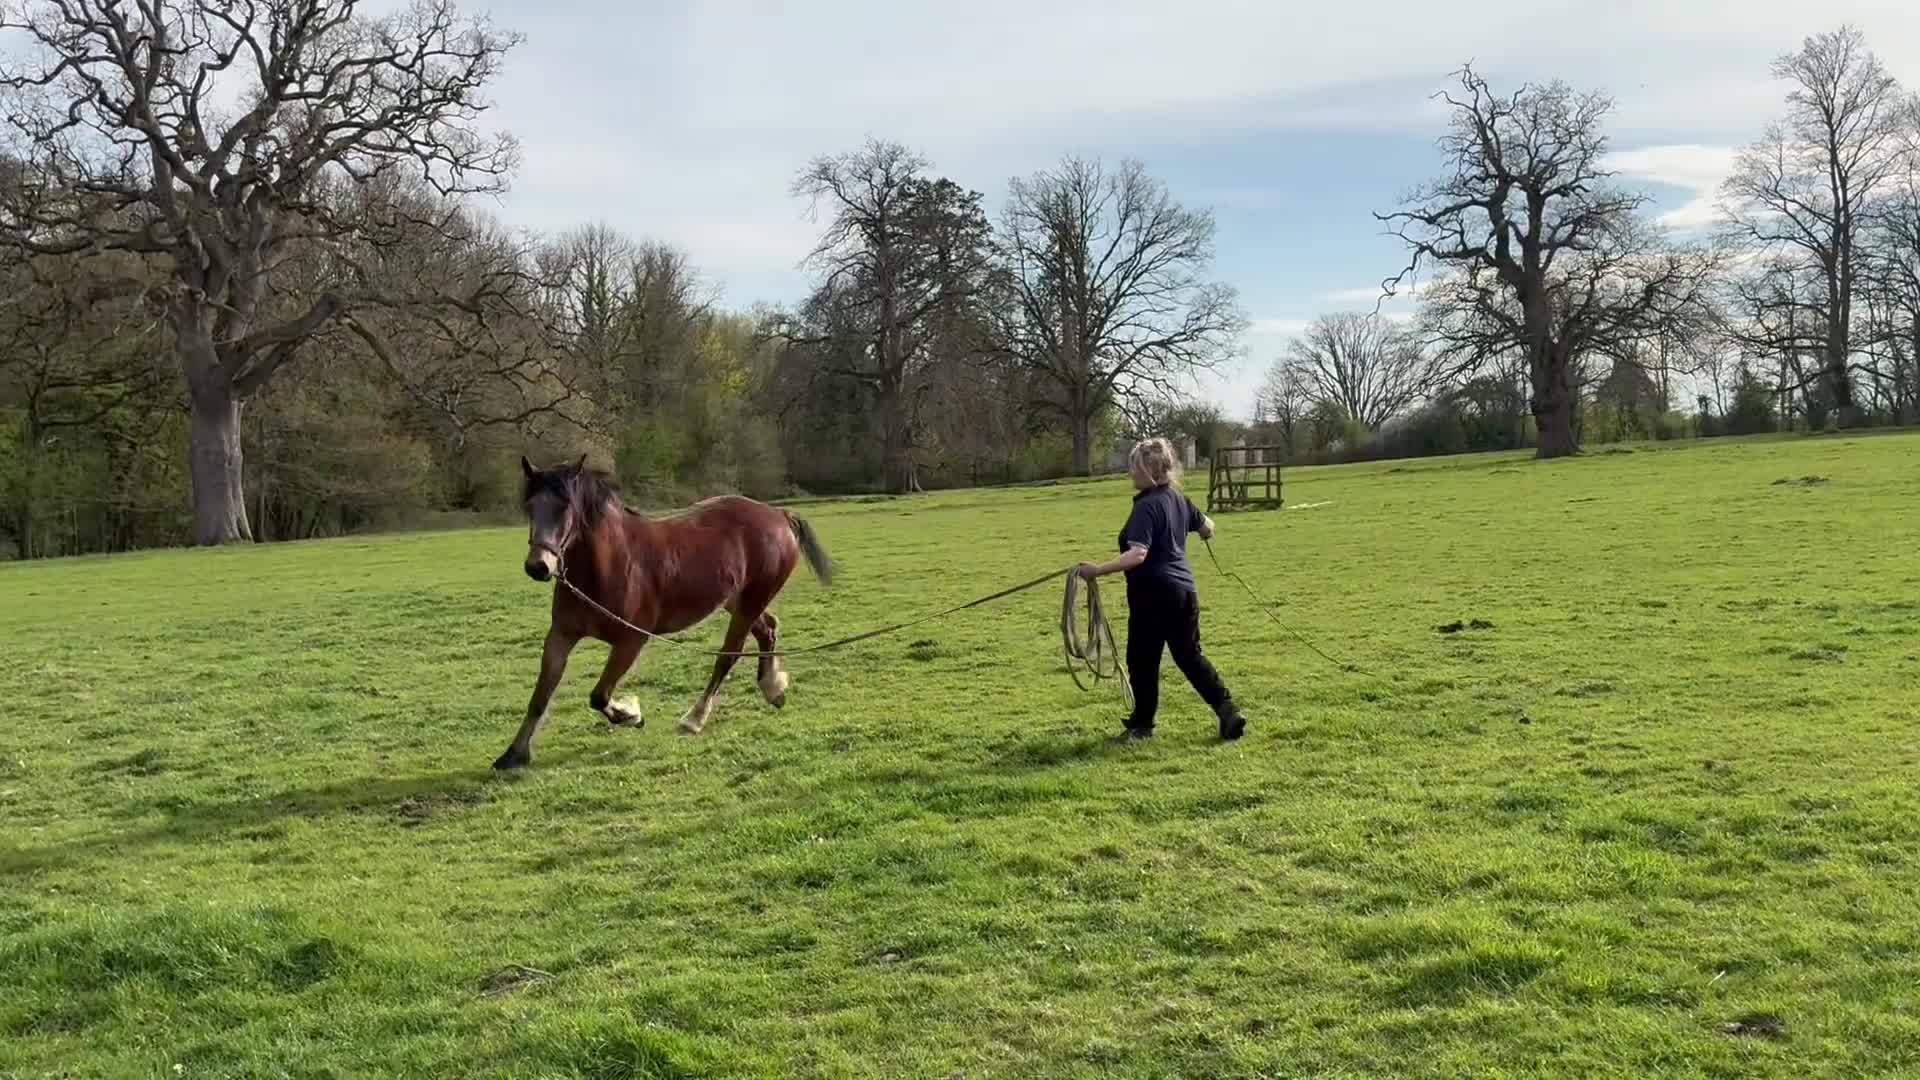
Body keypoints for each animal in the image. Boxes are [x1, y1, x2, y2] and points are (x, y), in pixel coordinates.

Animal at [493, 455, 834, 770]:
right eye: (530, 506)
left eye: (565, 506)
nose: (538, 566)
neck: (608, 566)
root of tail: (779, 515)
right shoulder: (561, 635)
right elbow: (540, 695)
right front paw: (513, 754)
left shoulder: (630, 641)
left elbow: (599, 695)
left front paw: (631, 715)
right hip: (737, 601)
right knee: (768, 629)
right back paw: (773, 689)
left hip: (751, 602)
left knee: (729, 655)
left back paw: (695, 718)